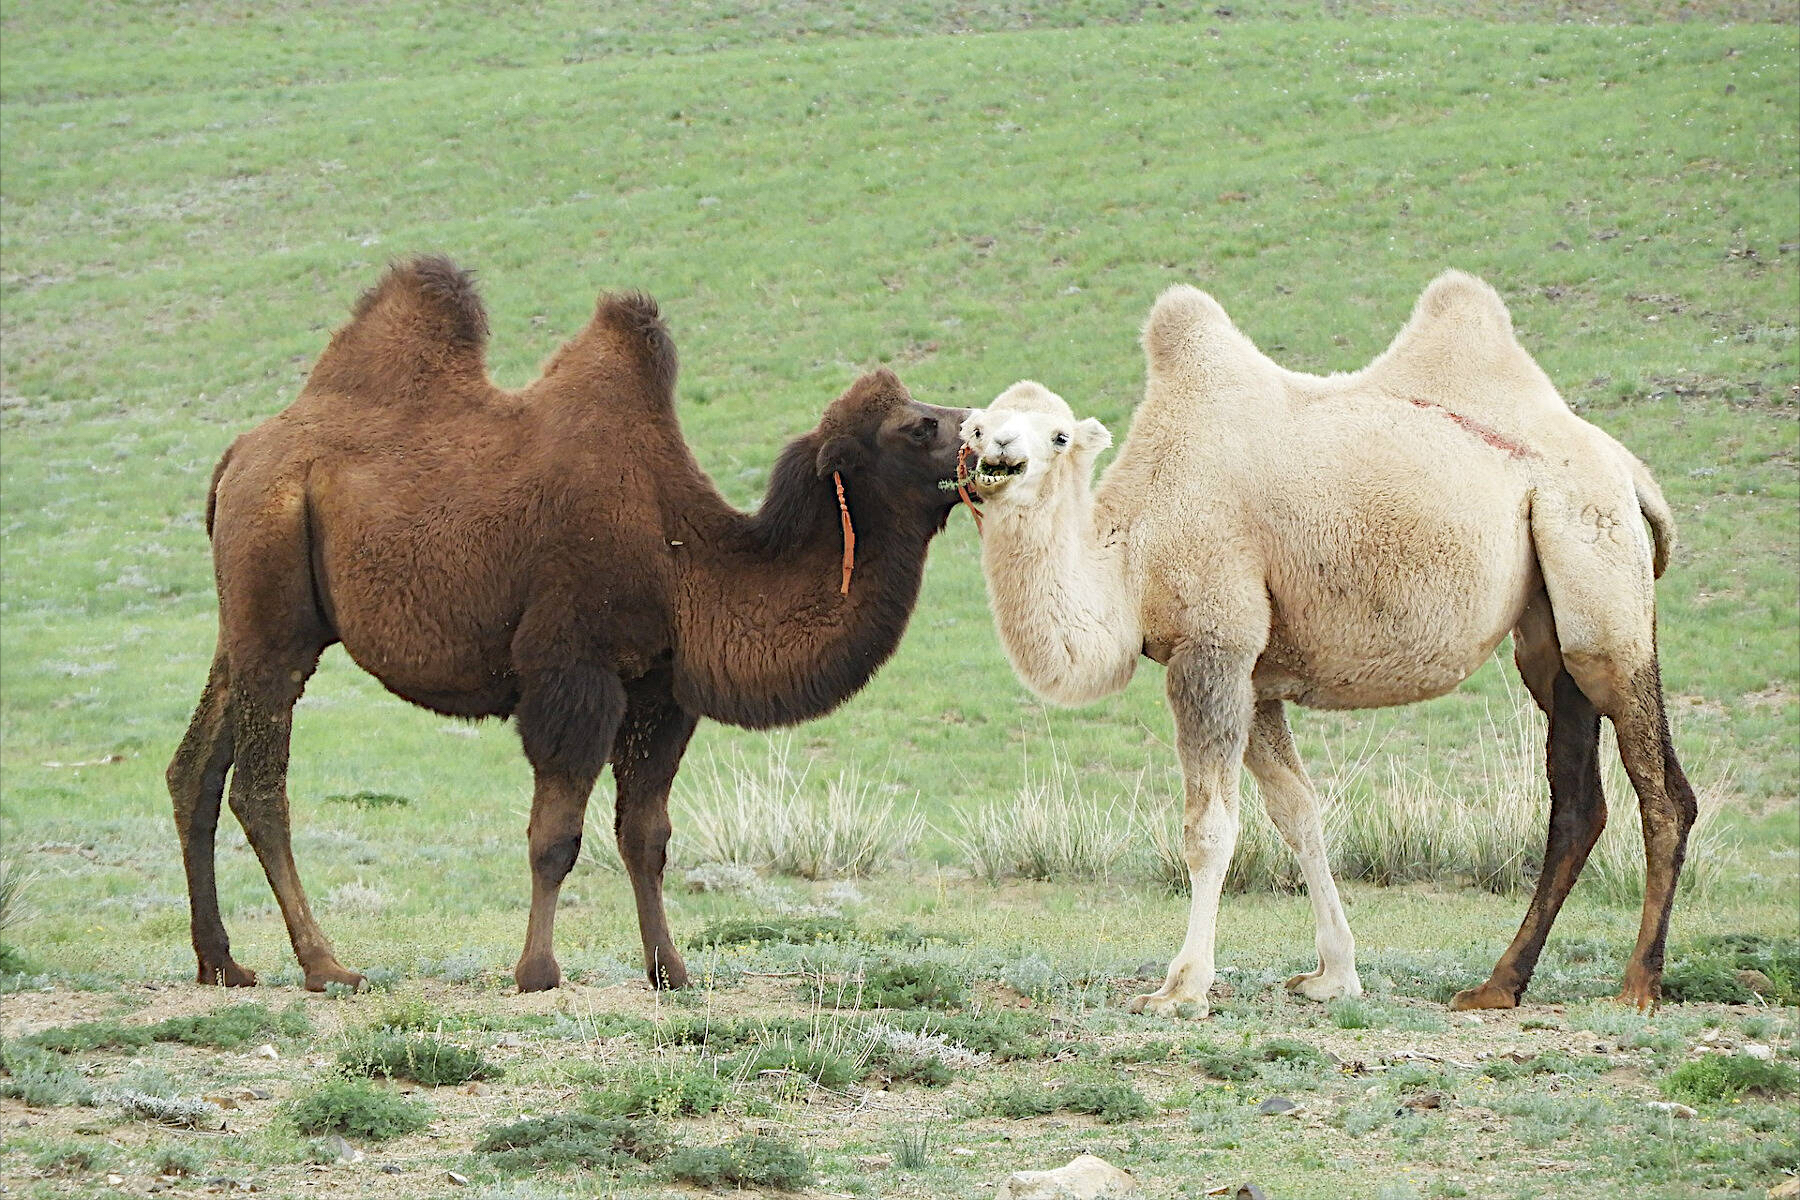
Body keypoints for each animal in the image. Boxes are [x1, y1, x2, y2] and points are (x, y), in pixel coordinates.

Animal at [171, 260, 972, 993]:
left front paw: (669, 970)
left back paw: (222, 963)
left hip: (245, 621)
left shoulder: (659, 687)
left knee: (196, 769)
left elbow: (646, 835)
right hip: (274, 604)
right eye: (919, 425)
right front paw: (537, 970)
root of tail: (240, 454)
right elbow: (555, 837)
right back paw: (326, 965)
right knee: (259, 788)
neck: (681, 552)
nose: (989, 436)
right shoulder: (573, 669)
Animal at [964, 275, 1692, 1021]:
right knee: (1577, 800)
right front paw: (1333, 974)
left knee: (1661, 789)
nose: (999, 453)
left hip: (1598, 576)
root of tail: (1627, 470)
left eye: (1057, 434)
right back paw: (1498, 985)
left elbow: (1210, 827)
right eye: (979, 425)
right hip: (1546, 627)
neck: (1134, 550)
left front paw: (1181, 988)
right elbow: (1298, 812)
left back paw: (1637, 985)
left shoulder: (1214, 646)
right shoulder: (1254, 677)